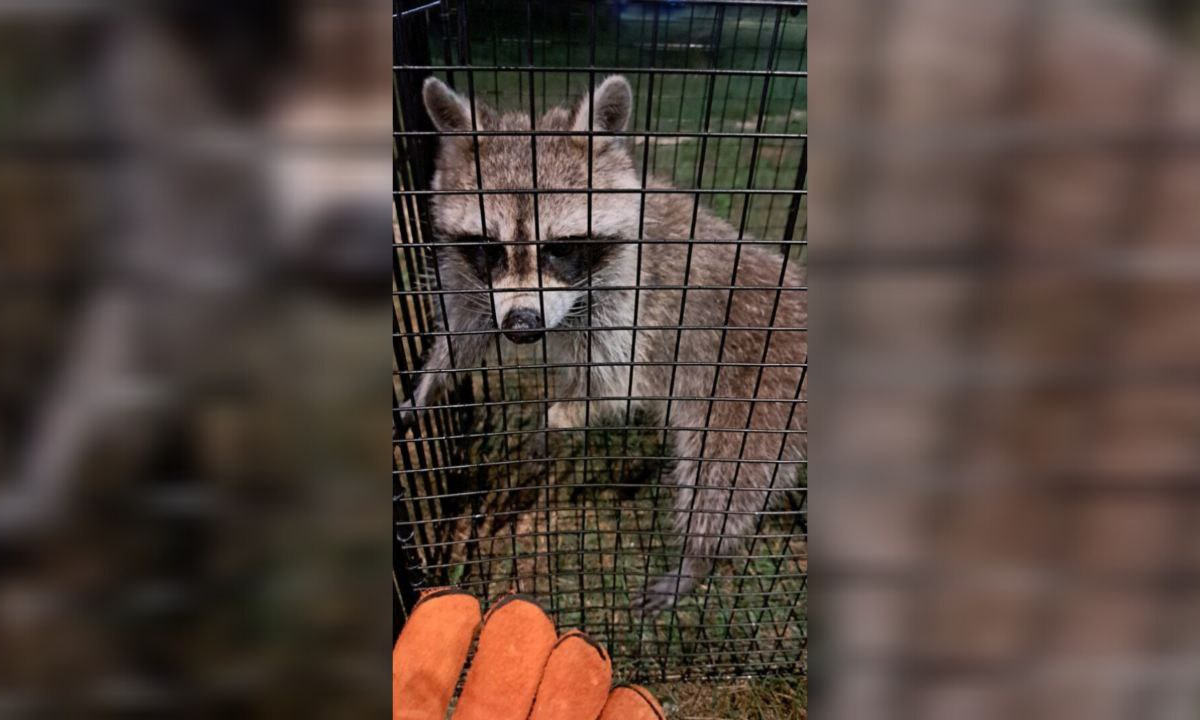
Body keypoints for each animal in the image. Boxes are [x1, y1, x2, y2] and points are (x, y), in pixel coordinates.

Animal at [403, 75, 806, 609]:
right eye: (490, 249)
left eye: (559, 248)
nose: (522, 327)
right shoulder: (472, 276)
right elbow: (467, 326)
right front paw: (429, 383)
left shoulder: (637, 296)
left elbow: (615, 384)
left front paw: (556, 418)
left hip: (761, 390)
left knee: (725, 475)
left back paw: (698, 556)